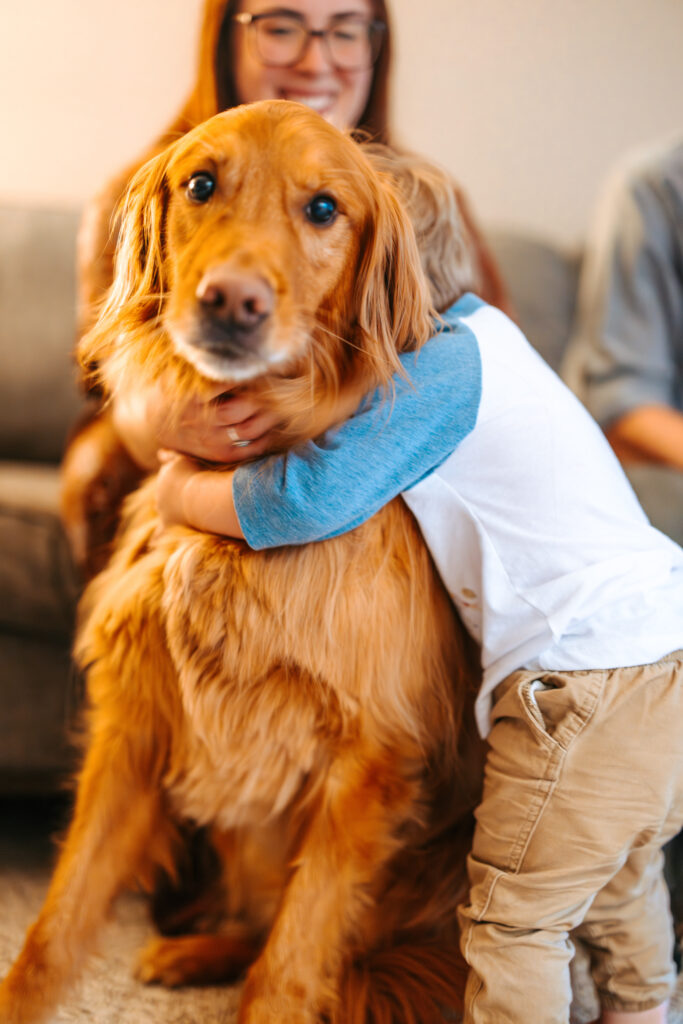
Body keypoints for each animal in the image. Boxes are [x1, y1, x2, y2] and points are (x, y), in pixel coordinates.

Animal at [0, 101, 481, 1024]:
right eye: (200, 184)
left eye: (324, 208)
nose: (231, 301)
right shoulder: (134, 724)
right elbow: (56, 925)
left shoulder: (367, 764)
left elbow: (293, 961)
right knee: (259, 924)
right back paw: (192, 952)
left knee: (321, 951)